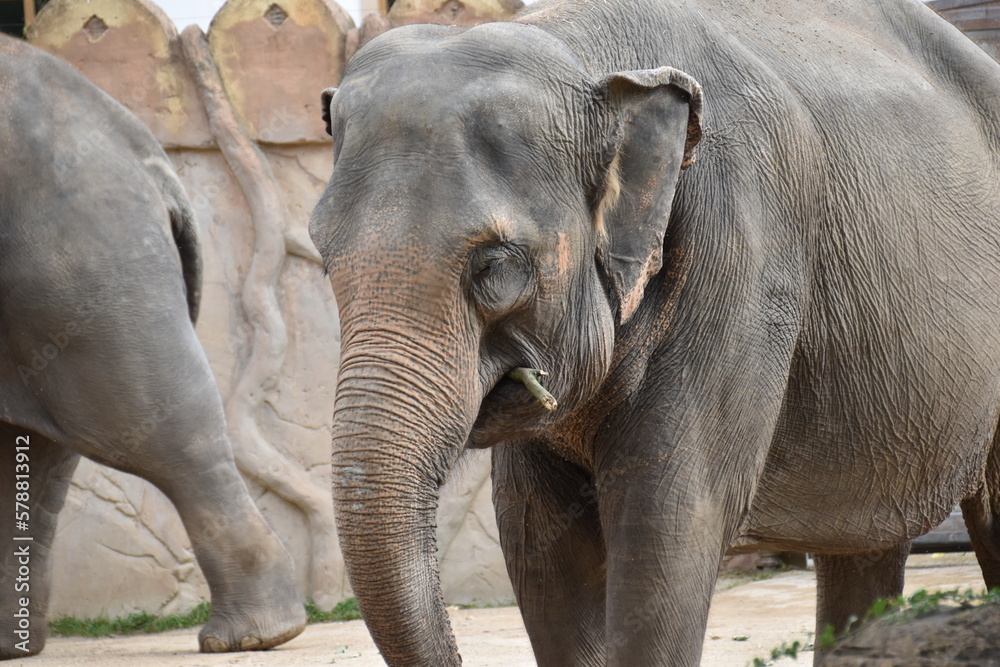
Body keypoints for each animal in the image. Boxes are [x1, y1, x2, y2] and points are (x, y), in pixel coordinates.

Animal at [309, 0, 1000, 664]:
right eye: (323, 256)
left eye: (496, 266)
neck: (578, 48)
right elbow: (537, 540)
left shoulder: (742, 254)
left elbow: (667, 524)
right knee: (862, 546)